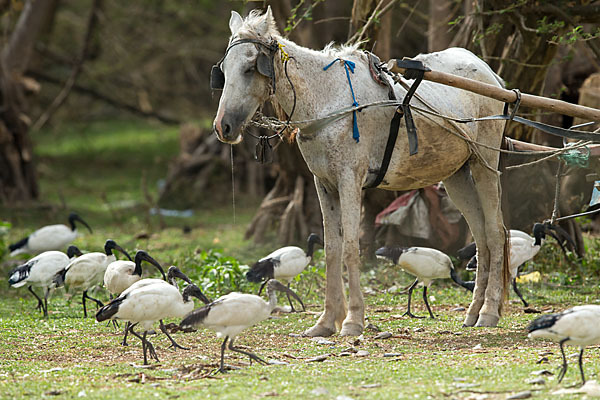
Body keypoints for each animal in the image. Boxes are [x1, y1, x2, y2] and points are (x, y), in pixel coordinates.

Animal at [213, 8, 508, 334]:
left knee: (496, 233)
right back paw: (473, 311)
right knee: (481, 237)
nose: (223, 126)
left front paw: (353, 319)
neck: (327, 101)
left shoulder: (349, 181)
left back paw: (489, 311)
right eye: (224, 70)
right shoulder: (324, 185)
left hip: (484, 165)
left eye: (250, 68)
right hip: (458, 175)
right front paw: (327, 320)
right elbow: (331, 249)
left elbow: (351, 246)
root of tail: (489, 74)